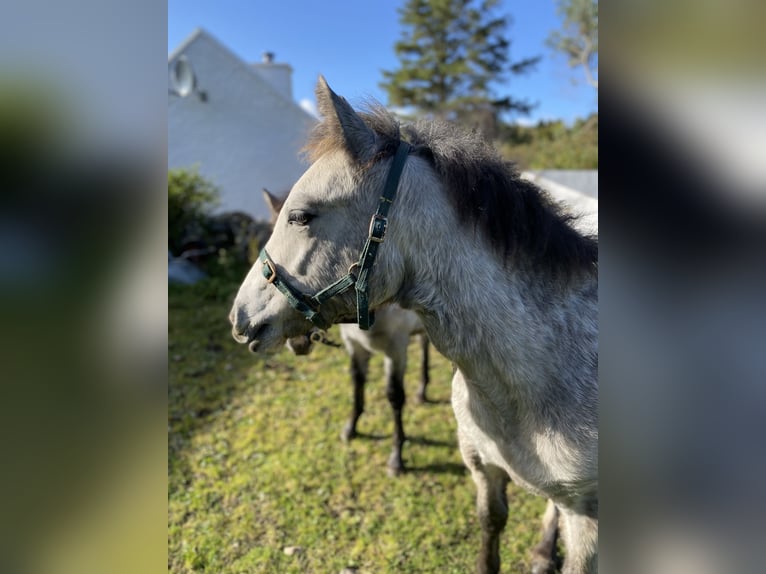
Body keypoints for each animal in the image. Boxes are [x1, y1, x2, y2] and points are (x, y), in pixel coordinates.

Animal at [264, 189, 432, 476]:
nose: (296, 342)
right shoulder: (356, 346)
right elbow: (357, 383)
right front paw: (351, 429)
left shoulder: (396, 349)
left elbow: (394, 396)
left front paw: (396, 457)